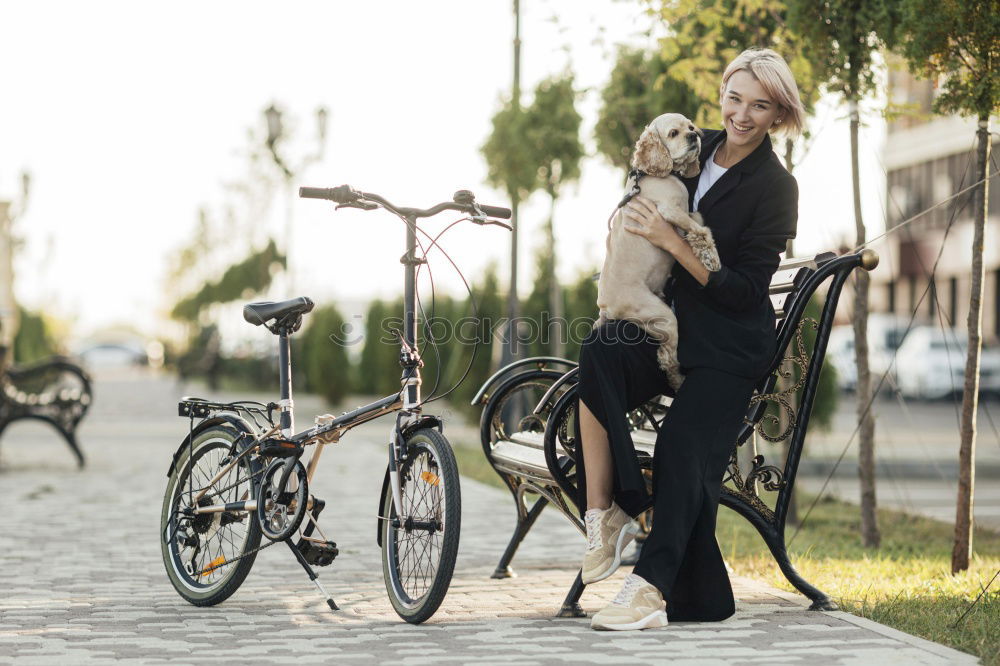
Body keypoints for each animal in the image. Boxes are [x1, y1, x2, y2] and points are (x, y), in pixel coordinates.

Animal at [596, 111, 724, 386]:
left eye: (691, 127)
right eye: (674, 133)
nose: (694, 136)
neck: (649, 174)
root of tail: (605, 305)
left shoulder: (685, 212)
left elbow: (698, 221)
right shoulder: (668, 210)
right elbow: (700, 229)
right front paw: (711, 257)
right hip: (663, 317)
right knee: (667, 357)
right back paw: (678, 381)